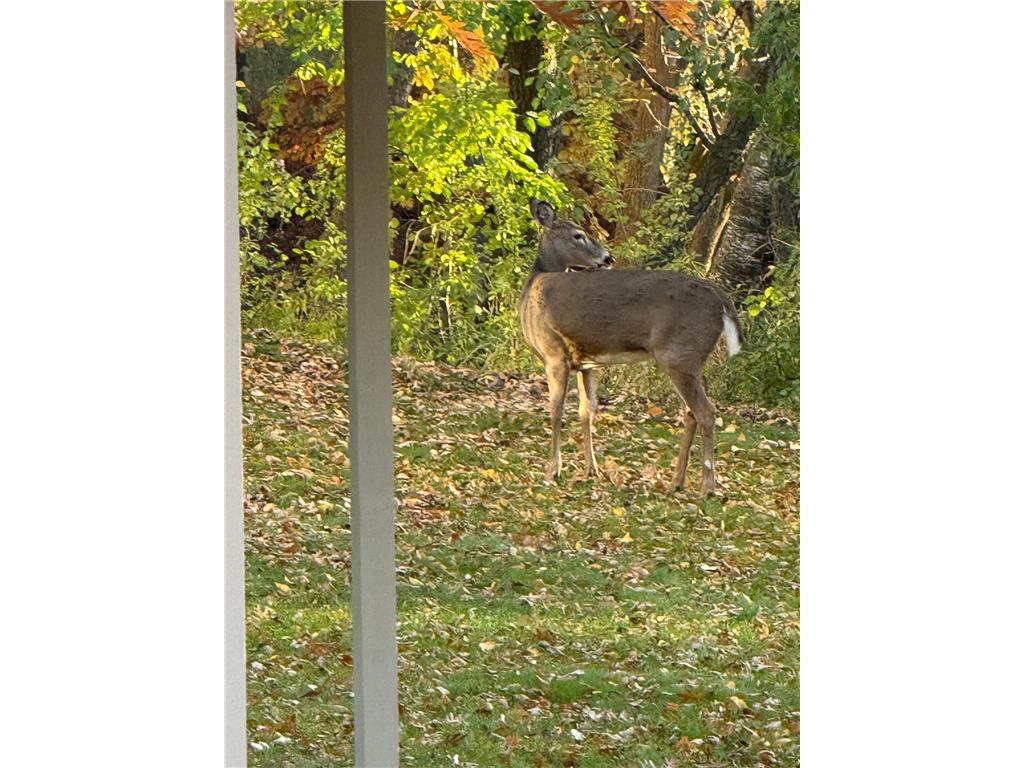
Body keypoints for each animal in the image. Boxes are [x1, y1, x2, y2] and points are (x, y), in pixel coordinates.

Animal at [518, 199, 744, 496]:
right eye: (578, 235)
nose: (607, 258)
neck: (533, 289)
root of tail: (721, 300)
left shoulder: (554, 352)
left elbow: (556, 411)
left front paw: (552, 471)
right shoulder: (586, 361)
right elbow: (586, 411)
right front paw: (591, 470)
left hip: (679, 354)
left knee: (706, 411)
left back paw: (708, 487)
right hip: (689, 360)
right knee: (691, 412)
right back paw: (676, 481)